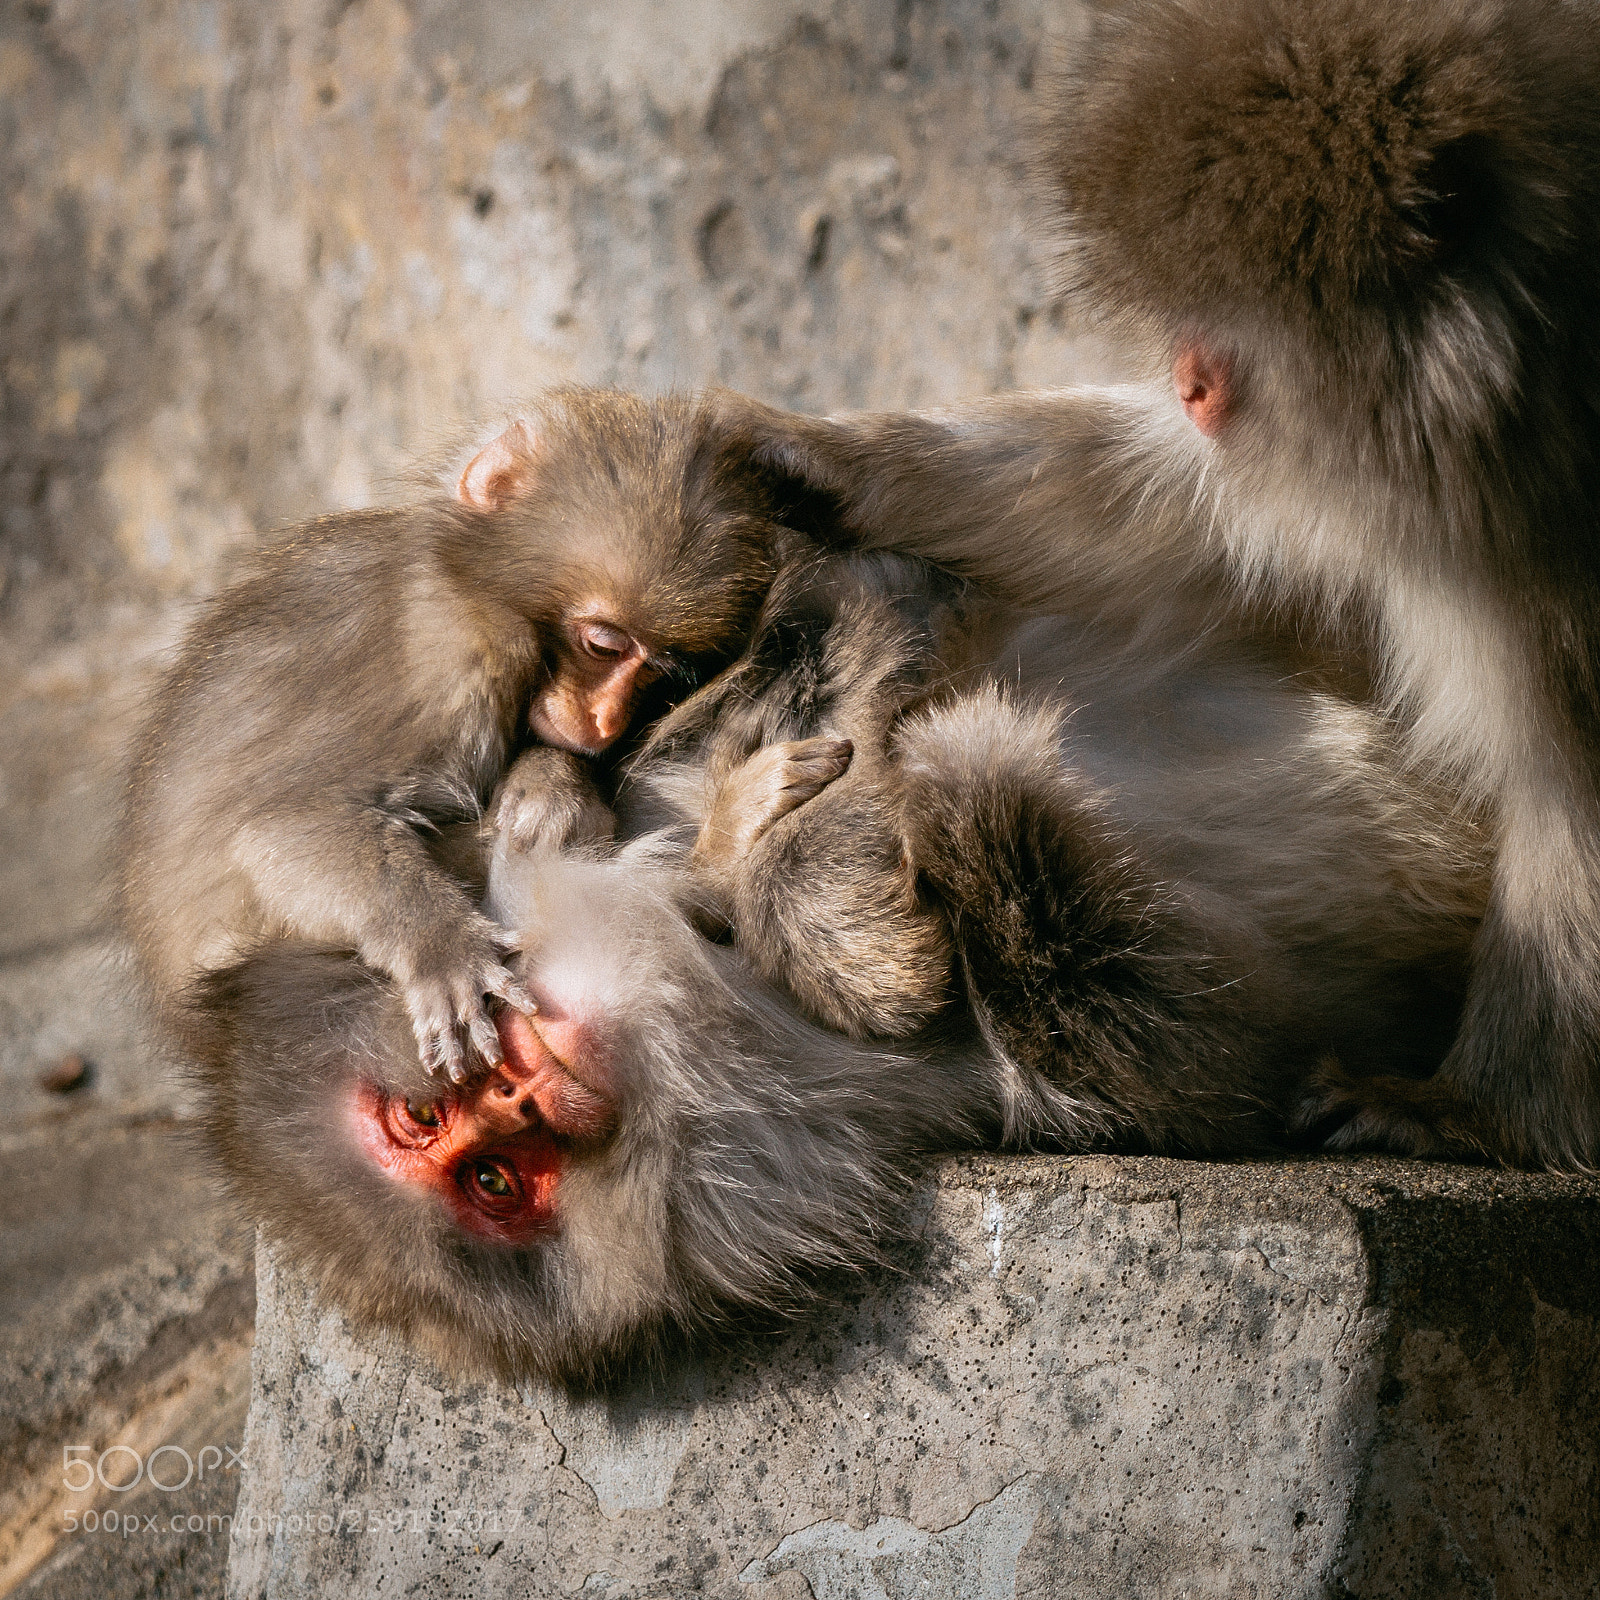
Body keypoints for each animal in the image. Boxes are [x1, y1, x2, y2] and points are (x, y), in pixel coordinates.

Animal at [117, 388, 829, 1084]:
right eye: (604, 644)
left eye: (657, 670)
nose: (606, 720)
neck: (467, 584)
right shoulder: (452, 662)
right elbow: (287, 827)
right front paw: (439, 946)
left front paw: (552, 780)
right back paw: (717, 854)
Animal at [187, 547, 1490, 1381]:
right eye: (494, 1179)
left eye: (439, 1119)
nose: (530, 1095)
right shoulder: (883, 1117)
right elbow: (1177, 1059)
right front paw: (954, 800)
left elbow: (846, 605)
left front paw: (766, 853)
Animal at [733, 0, 1600, 1170]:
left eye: (1226, 320)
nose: (1189, 379)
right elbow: (1202, 517)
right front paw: (828, 459)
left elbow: (1567, 788)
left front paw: (1474, 1114)